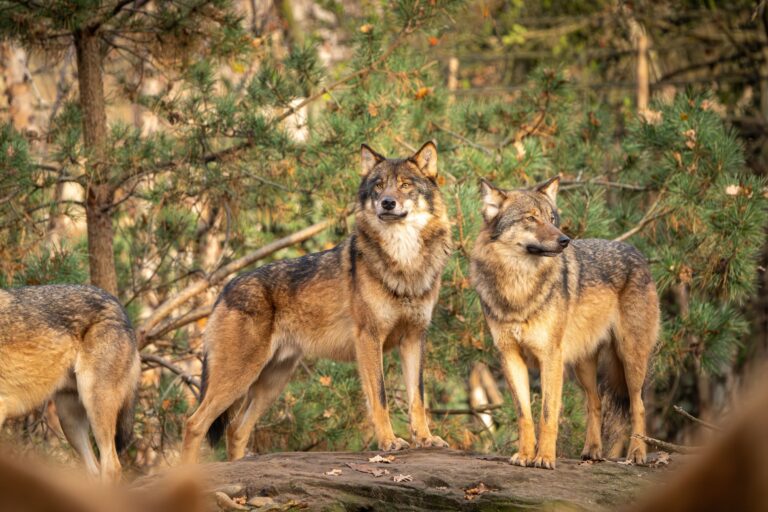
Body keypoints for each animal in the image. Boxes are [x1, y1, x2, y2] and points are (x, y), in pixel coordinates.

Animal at [181, 141, 452, 463]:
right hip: (240, 377)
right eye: (379, 185)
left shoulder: (413, 338)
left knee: (236, 430)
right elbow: (380, 397)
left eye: (405, 185)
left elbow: (417, 397)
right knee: (194, 423)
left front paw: (426, 439)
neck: (405, 261)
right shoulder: (369, 339)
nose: (387, 203)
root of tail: (225, 288)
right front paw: (388, 442)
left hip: (271, 382)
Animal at [470, 177, 659, 469]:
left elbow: (548, 414)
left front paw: (545, 458)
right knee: (595, 402)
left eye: (551, 218)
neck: (519, 287)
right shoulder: (510, 357)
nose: (564, 240)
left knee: (638, 405)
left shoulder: (550, 357)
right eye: (531, 218)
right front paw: (525, 455)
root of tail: (636, 252)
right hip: (582, 365)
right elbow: (524, 414)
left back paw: (637, 453)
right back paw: (592, 451)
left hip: (630, 357)